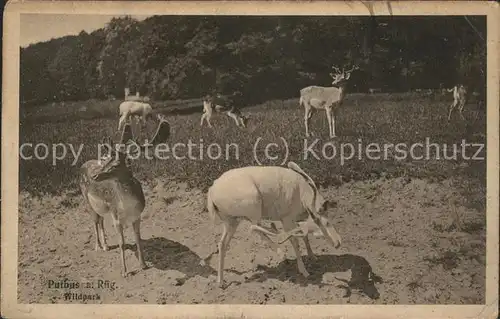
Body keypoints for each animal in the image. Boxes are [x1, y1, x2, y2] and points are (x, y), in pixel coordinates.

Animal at [202, 161, 340, 288]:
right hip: (254, 208)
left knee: (223, 243)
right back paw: (281, 251)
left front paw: (313, 256)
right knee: (254, 228)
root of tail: (211, 191)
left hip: (231, 221)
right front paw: (304, 271)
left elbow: (304, 235)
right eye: (326, 222)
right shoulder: (287, 219)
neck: (301, 191)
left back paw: (221, 282)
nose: (337, 243)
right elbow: (295, 241)